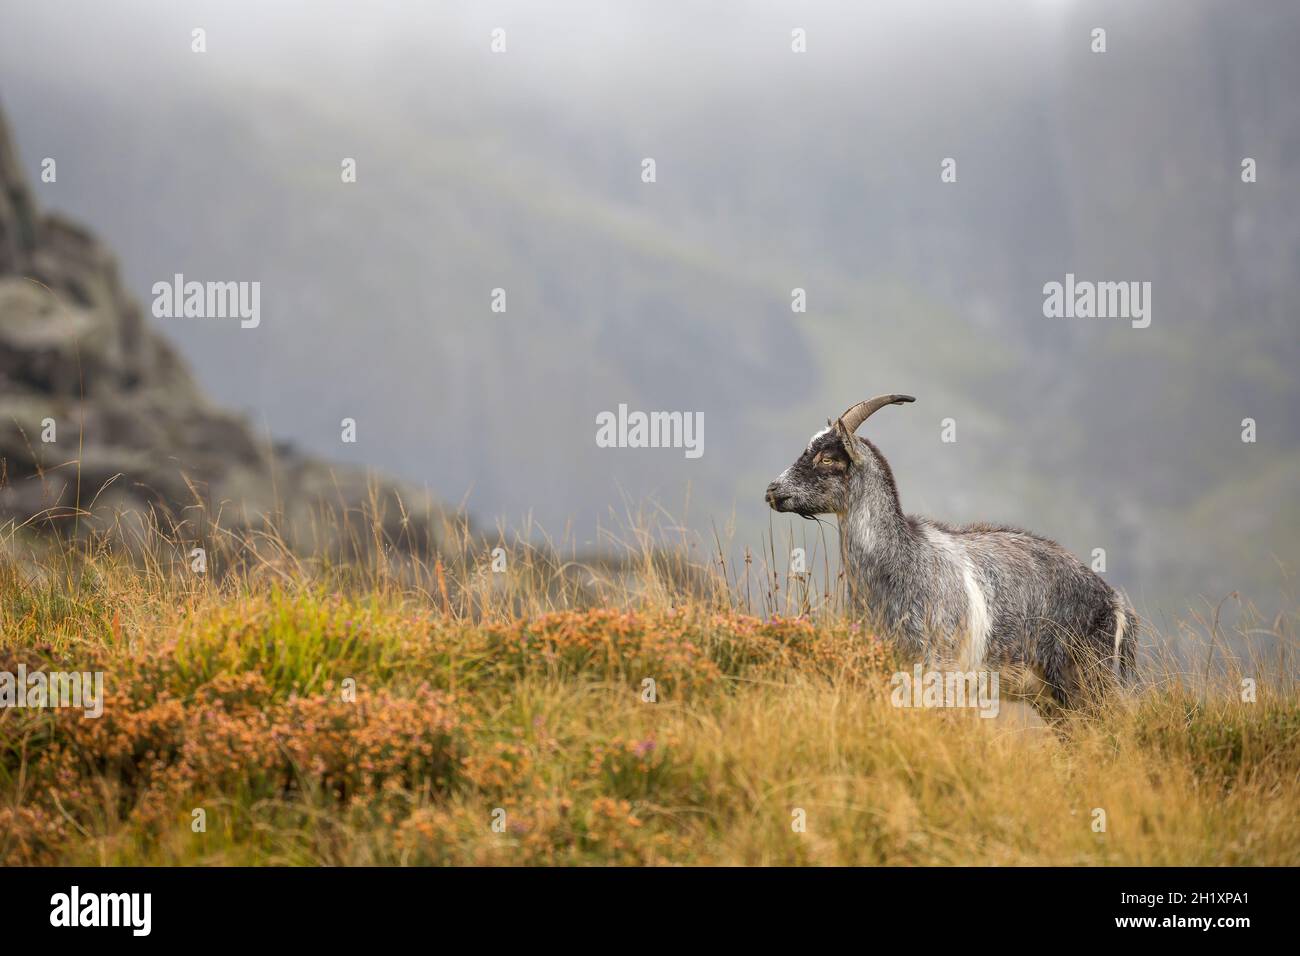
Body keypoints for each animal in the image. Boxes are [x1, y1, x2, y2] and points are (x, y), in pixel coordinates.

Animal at [764, 392, 1133, 712]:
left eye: (828, 457)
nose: (772, 491)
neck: (901, 560)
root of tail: (1115, 602)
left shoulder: (940, 667)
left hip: (1085, 680)